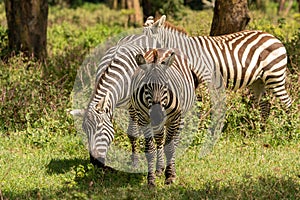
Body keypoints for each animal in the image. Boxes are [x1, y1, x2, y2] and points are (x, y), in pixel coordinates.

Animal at [82, 34, 163, 169]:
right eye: (85, 130)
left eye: (100, 129)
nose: (94, 162)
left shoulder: (132, 105)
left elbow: (132, 132)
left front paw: (135, 162)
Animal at [129, 48, 197, 186]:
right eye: (146, 86)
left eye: (166, 85)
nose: (157, 115)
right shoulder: (144, 119)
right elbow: (150, 149)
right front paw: (151, 179)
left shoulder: (174, 119)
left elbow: (170, 148)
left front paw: (170, 176)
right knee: (160, 140)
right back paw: (159, 168)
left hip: (180, 117)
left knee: (174, 141)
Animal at [143, 14, 290, 121]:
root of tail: (274, 37)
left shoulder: (203, 79)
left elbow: (201, 104)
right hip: (258, 81)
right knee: (265, 105)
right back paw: (260, 130)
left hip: (274, 76)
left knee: (286, 102)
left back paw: (288, 130)